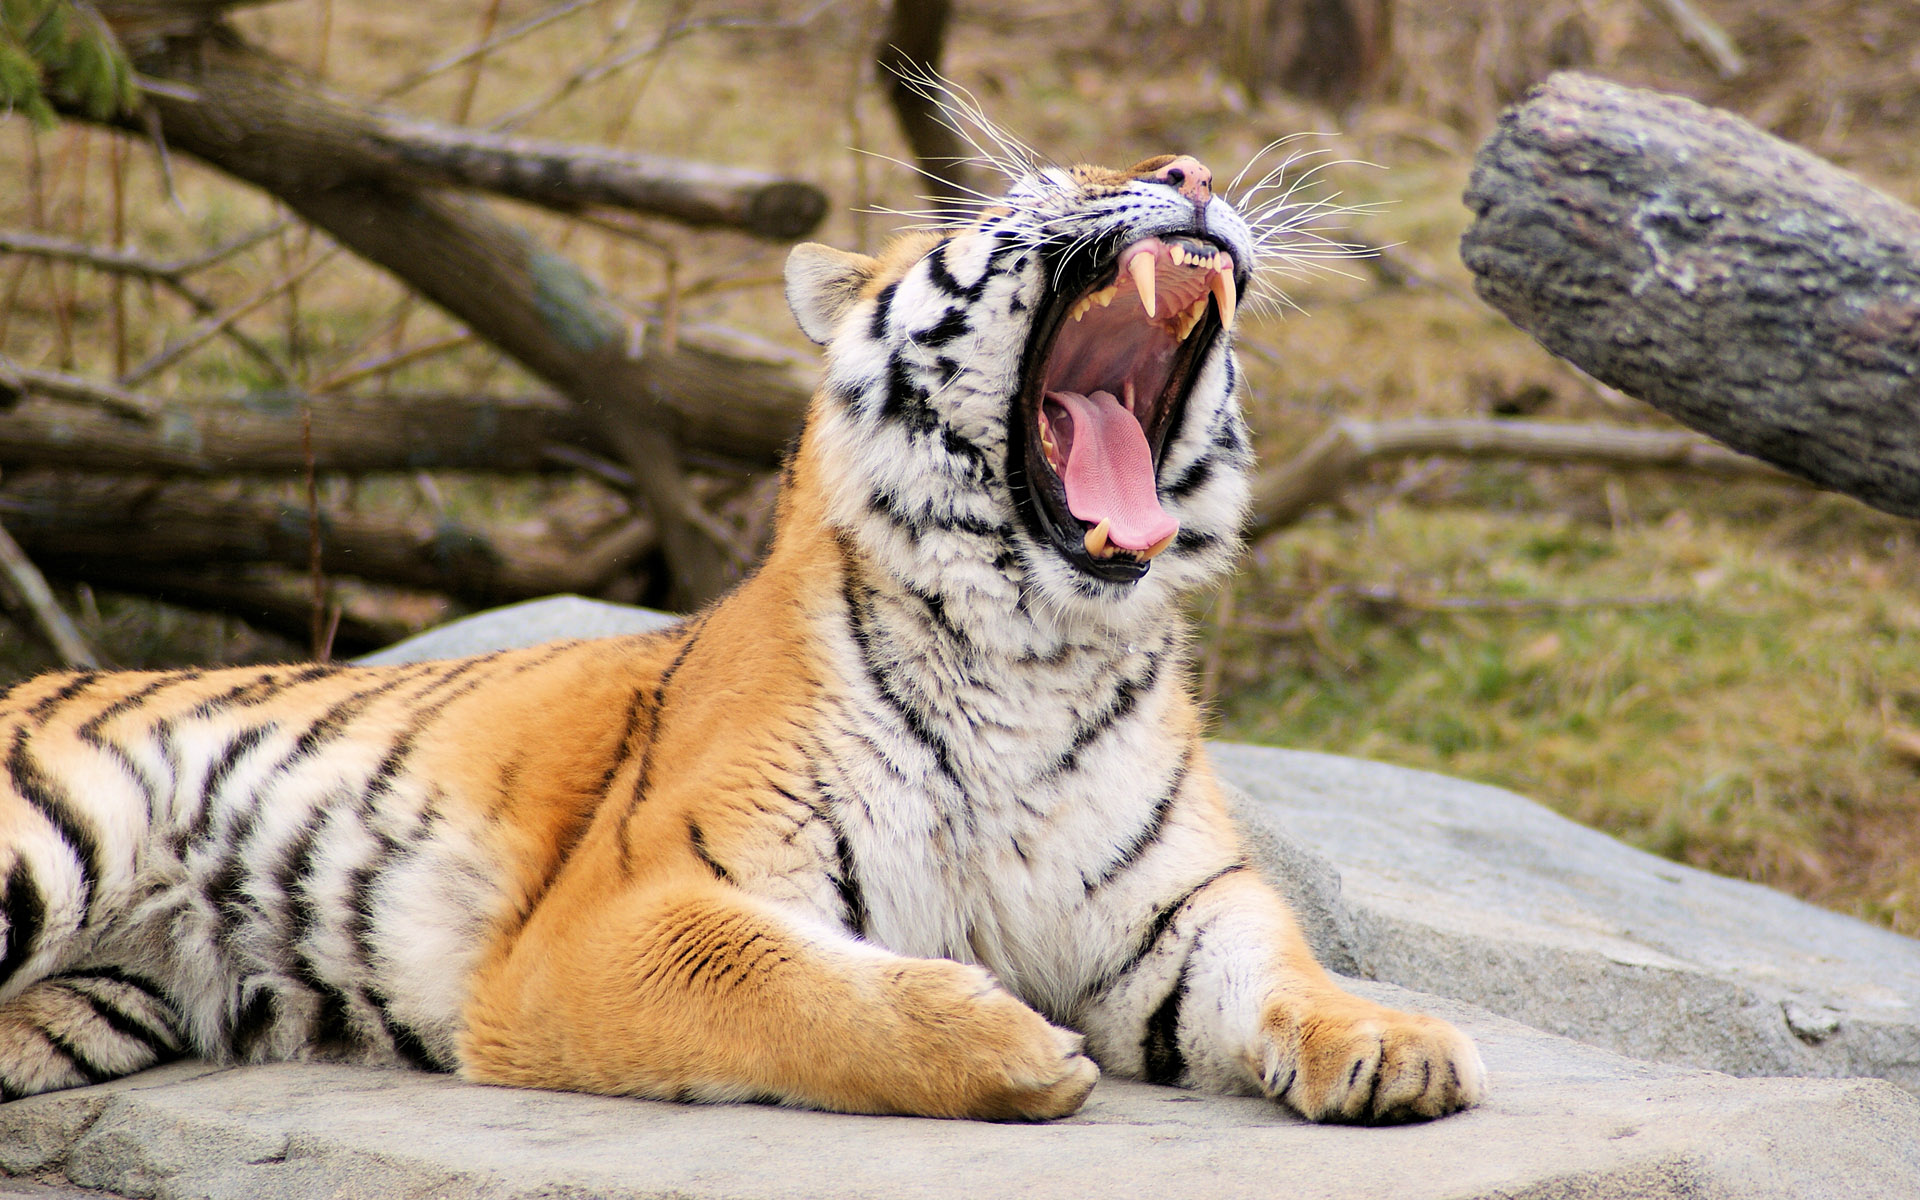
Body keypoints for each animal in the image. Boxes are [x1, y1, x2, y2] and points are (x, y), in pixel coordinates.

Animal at [0, 143, 1482, 1121]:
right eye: (1034, 189)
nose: (1191, 168)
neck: (1037, 648)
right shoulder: (617, 918)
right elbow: (794, 986)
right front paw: (1011, 1047)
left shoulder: (1174, 909)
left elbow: (1284, 965)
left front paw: (1400, 1044)